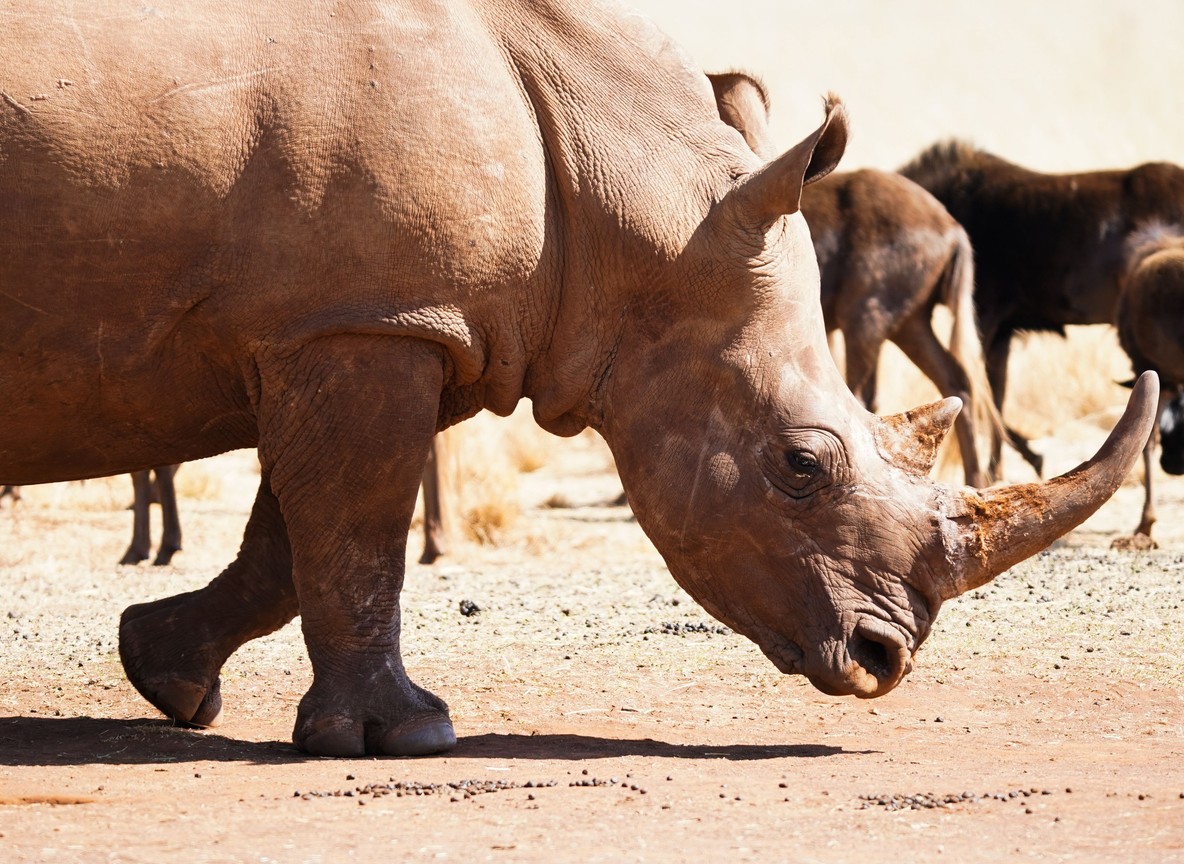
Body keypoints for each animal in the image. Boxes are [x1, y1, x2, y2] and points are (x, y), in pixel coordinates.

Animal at [0, 0, 1157, 757]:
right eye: (799, 466)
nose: (883, 663)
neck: (635, 208)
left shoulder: (344, 324)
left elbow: (291, 536)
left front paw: (166, 675)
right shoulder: (369, 326)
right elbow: (356, 531)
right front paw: (405, 735)